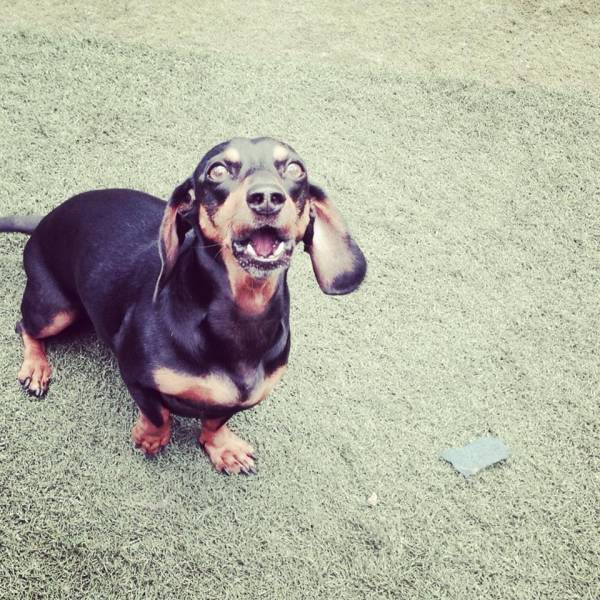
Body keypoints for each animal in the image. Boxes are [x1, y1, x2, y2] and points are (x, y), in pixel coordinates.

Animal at [1, 136, 366, 474]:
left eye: (295, 169)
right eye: (217, 170)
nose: (267, 198)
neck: (241, 319)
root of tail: (44, 221)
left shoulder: (242, 398)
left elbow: (215, 421)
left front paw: (223, 448)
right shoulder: (135, 375)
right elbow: (158, 414)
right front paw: (151, 438)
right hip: (55, 310)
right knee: (25, 327)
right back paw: (36, 368)